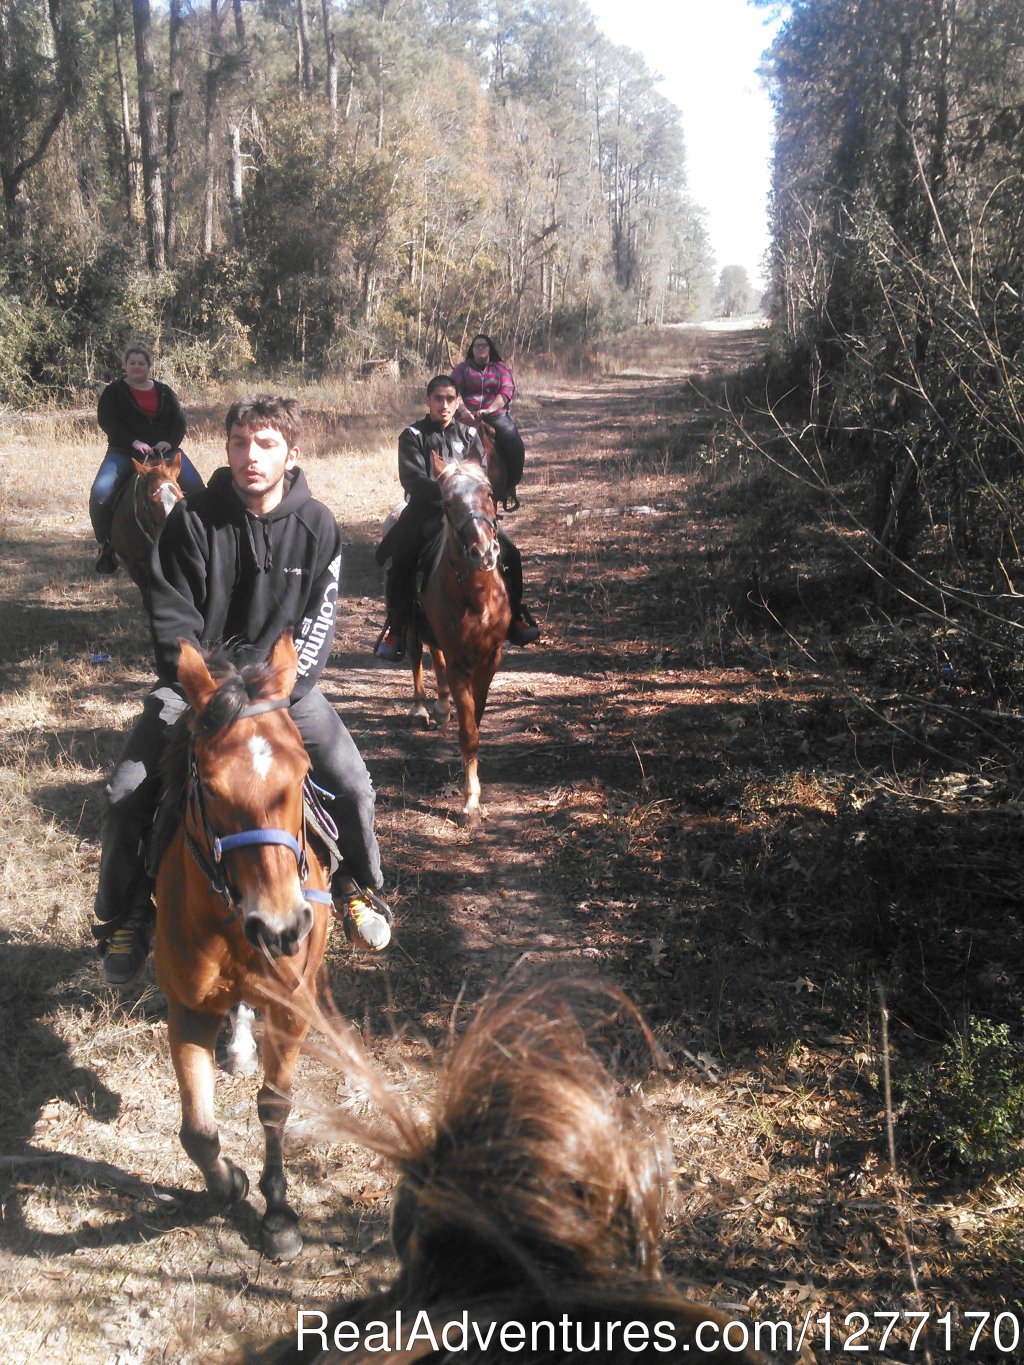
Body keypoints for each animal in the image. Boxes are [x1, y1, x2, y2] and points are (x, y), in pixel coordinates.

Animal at [154, 633, 330, 1261]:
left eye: (304, 771)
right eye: (208, 785)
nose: (281, 929)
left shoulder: (292, 1005)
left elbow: (274, 1105)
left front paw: (278, 1214)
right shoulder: (186, 1008)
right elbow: (197, 1131)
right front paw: (229, 1182)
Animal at [404, 453, 510, 824]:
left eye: (489, 492)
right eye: (447, 501)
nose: (484, 551)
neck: (476, 597)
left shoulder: (490, 659)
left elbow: (475, 719)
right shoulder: (460, 662)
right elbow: (469, 733)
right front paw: (471, 802)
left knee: (435, 659)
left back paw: (441, 707)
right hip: (411, 626)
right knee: (417, 657)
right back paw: (422, 707)